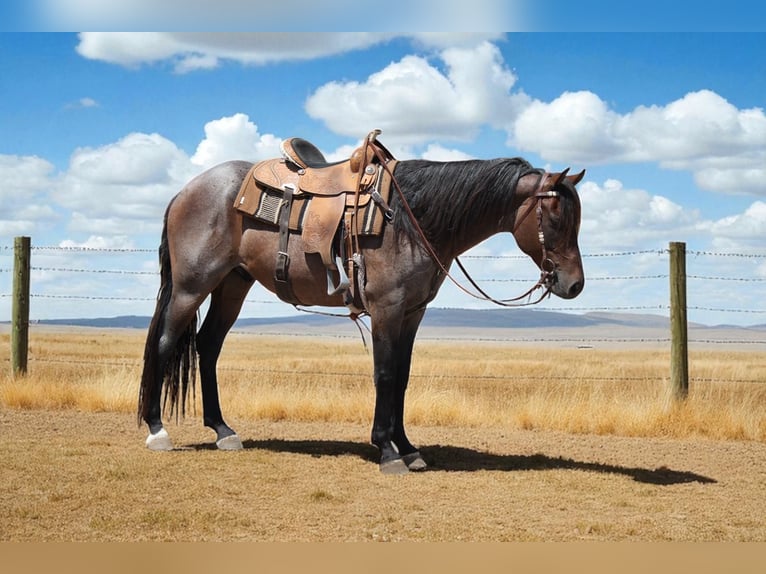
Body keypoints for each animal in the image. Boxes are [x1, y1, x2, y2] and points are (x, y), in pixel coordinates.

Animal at [138, 139, 585, 474]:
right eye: (555, 219)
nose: (574, 284)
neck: (411, 218)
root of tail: (184, 191)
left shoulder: (412, 312)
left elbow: (402, 376)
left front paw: (408, 447)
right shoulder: (387, 308)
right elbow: (384, 374)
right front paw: (387, 451)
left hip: (232, 284)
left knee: (208, 346)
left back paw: (223, 430)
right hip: (191, 286)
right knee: (164, 343)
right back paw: (158, 431)